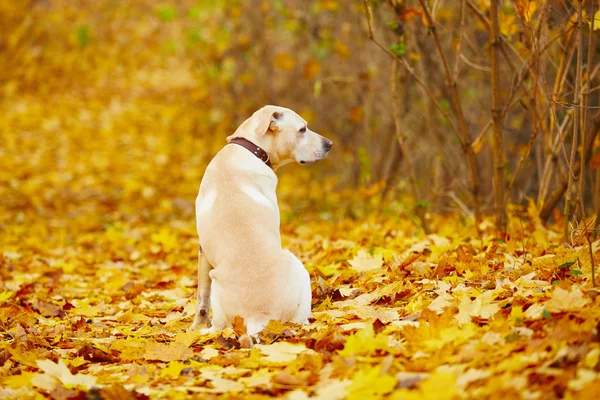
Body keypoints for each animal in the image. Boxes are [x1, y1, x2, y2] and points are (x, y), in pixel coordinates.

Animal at [190, 104, 332, 340]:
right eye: (302, 129)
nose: (329, 144)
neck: (251, 149)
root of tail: (259, 314)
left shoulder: (202, 249)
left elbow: (202, 296)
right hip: (298, 265)